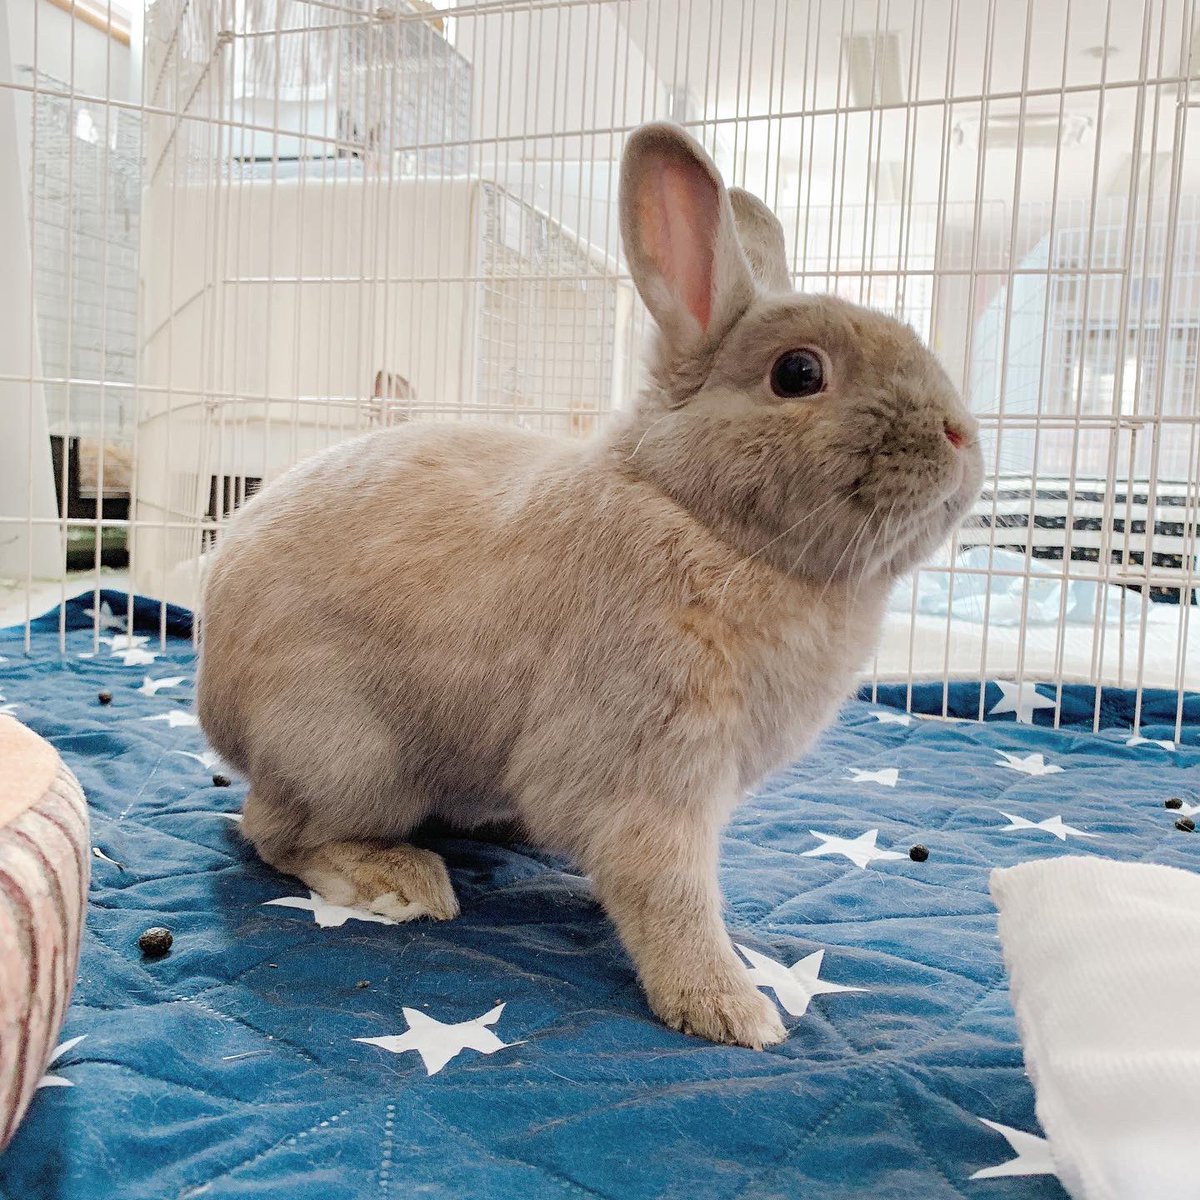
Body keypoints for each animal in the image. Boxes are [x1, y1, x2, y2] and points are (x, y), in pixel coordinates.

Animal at [197, 122, 983, 1049]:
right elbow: (668, 893)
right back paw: (398, 880)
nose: (962, 435)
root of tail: (215, 696)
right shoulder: (650, 768)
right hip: (349, 752)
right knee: (273, 832)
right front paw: (732, 1008)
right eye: (798, 373)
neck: (700, 515)